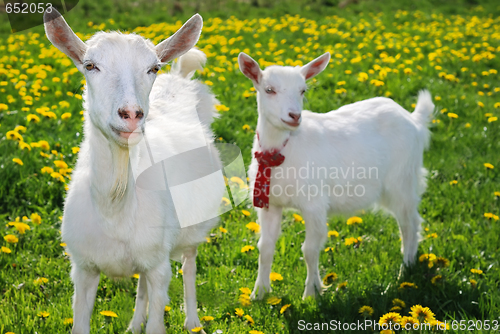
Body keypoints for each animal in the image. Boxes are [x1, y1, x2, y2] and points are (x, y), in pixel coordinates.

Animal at [44, 9, 221, 334]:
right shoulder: (83, 268)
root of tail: (181, 82)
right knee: (142, 286)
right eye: (90, 65)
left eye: (153, 68)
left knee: (189, 265)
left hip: (192, 227)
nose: (131, 114)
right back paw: (135, 323)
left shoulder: (160, 267)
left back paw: (192, 321)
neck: (114, 209)